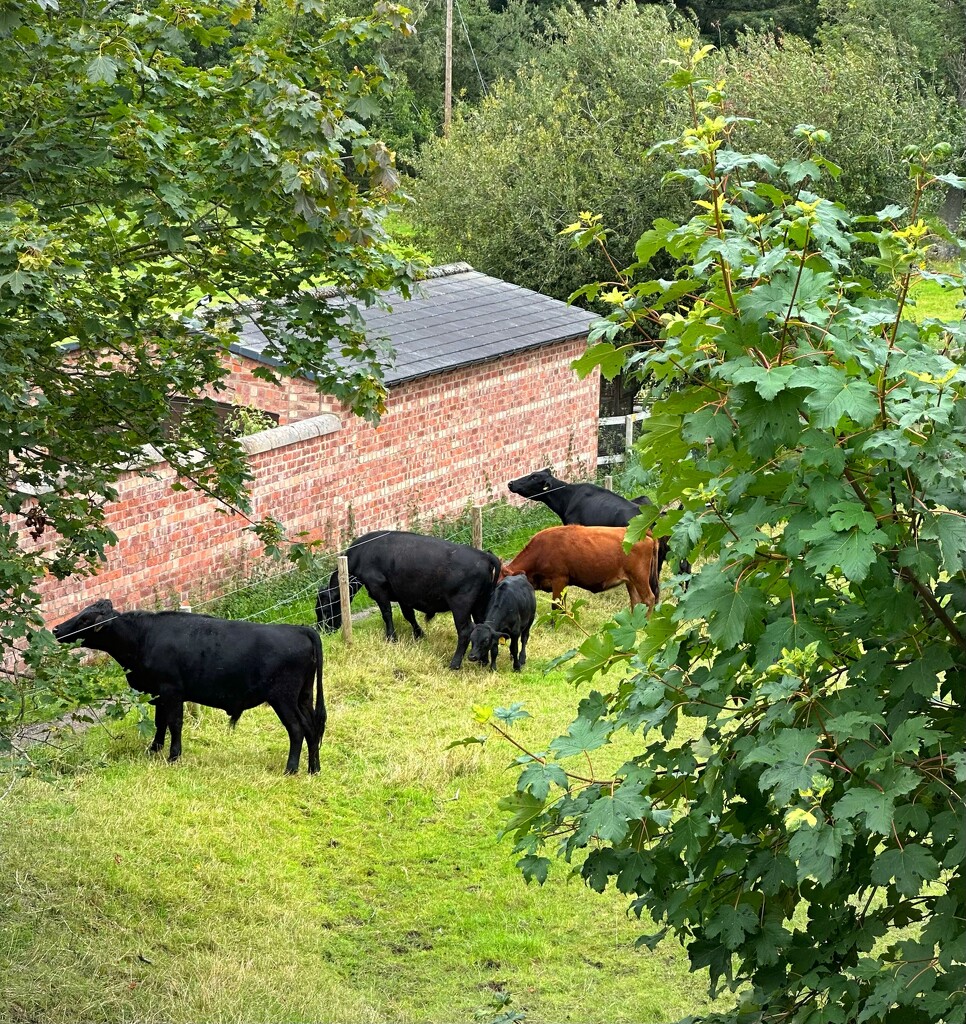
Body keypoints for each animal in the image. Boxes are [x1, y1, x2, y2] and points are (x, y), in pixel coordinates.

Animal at [51, 598, 325, 770]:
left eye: (85, 619)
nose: (56, 629)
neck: (142, 638)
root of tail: (299, 629)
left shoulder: (171, 691)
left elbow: (174, 723)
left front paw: (173, 756)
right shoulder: (159, 694)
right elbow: (160, 722)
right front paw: (154, 749)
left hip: (283, 698)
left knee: (297, 729)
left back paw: (291, 769)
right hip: (303, 696)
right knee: (312, 729)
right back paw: (313, 768)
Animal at [315, 528, 497, 671]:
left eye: (325, 611)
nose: (322, 630)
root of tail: (484, 556)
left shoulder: (378, 587)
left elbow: (386, 613)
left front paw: (391, 638)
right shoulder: (402, 593)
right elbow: (408, 614)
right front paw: (419, 634)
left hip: (460, 605)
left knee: (465, 631)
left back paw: (455, 664)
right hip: (479, 603)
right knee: (482, 627)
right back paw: (483, 660)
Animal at [497, 524, 655, 610]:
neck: (541, 550)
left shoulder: (559, 579)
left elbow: (557, 605)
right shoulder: (564, 583)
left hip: (640, 578)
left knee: (649, 599)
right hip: (630, 580)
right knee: (636, 601)